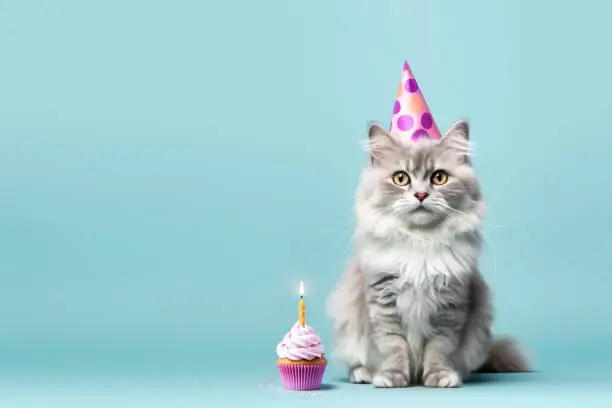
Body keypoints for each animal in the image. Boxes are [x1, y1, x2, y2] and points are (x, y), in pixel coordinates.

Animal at [328, 119, 528, 388]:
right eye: (401, 178)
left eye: (439, 177)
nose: (421, 195)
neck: (420, 241)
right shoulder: (384, 301)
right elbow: (394, 347)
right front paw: (392, 377)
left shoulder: (449, 306)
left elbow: (439, 348)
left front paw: (440, 376)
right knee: (357, 361)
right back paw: (363, 374)